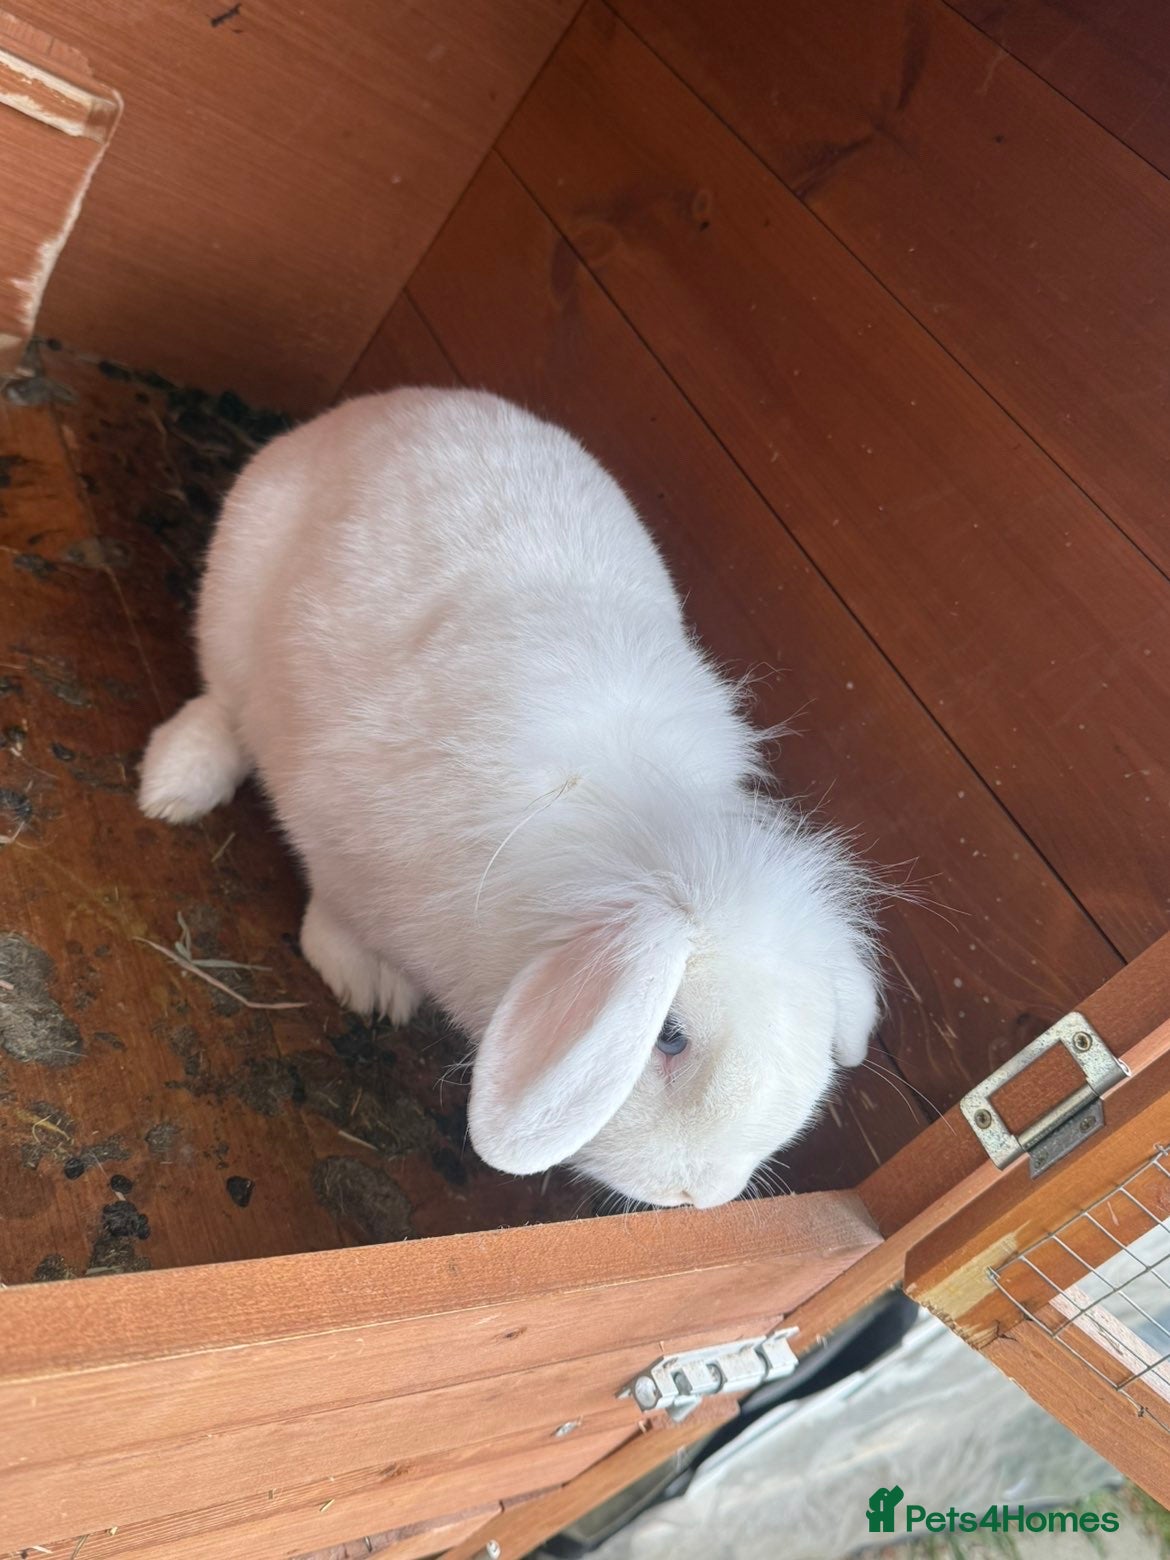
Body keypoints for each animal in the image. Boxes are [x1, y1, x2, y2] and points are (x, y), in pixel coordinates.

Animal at [139, 388, 880, 1209]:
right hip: (231, 601)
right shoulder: (335, 831)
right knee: (222, 704)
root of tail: (372, 407)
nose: (701, 1192)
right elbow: (335, 909)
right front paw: (368, 982)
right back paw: (172, 787)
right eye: (670, 1036)